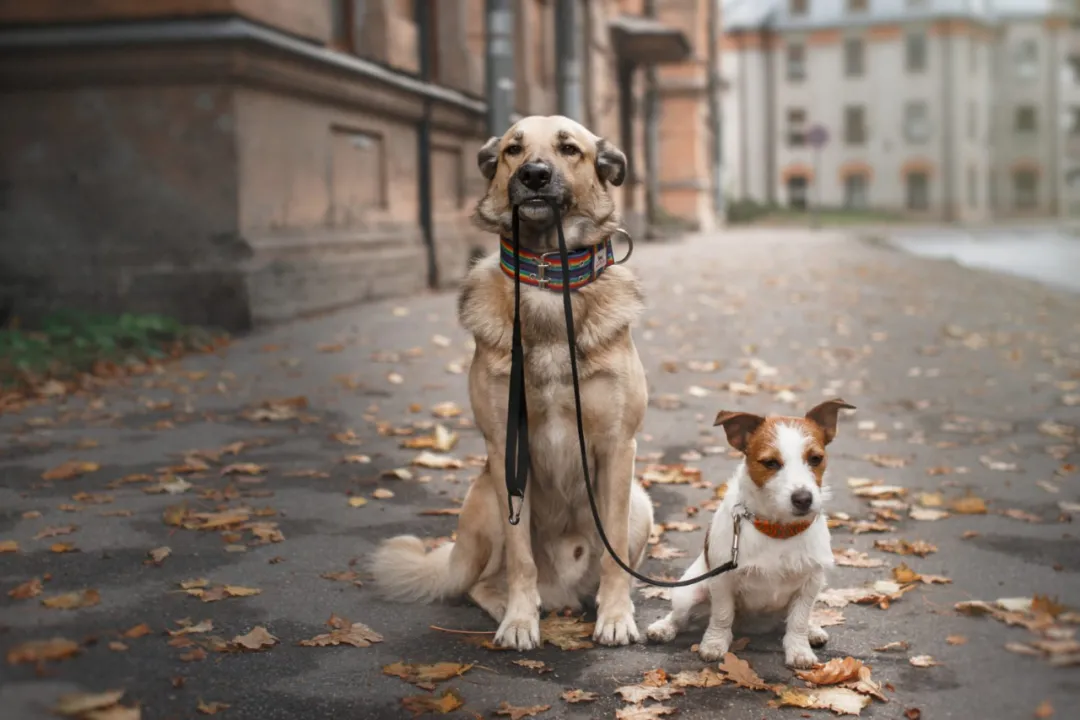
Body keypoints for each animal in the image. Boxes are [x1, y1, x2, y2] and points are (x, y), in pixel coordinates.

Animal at [371, 115, 652, 651]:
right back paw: (510, 606)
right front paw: (521, 620)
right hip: (485, 497)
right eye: (512, 150)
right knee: (482, 582)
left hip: (639, 502)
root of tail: (563, 591)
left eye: (569, 148)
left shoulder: (618, 448)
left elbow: (614, 556)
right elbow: (521, 559)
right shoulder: (506, 447)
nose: (535, 175)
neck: (547, 277)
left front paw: (616, 616)